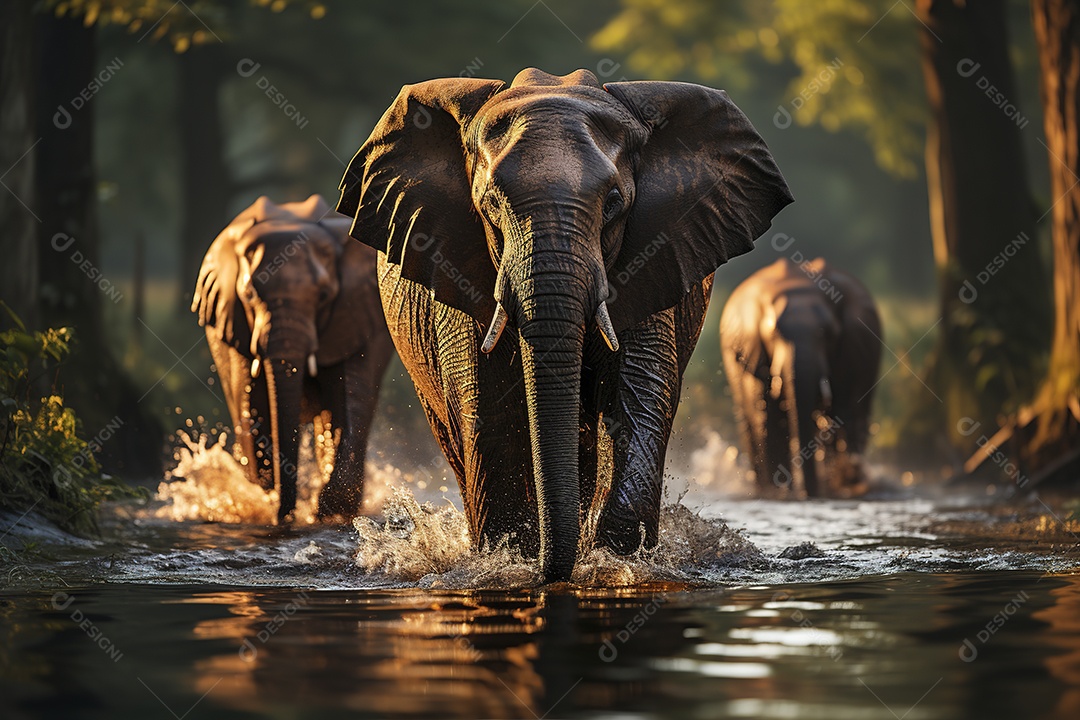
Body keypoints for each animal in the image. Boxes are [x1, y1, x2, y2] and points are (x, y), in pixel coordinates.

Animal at [192, 194, 393, 523]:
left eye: (324, 296)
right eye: (249, 295)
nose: (285, 516)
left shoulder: (357, 312)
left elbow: (350, 398)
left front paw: (329, 509)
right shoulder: (237, 324)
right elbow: (253, 403)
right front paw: (270, 494)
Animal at [336, 68, 792, 582]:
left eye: (613, 203)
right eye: (491, 205)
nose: (551, 572)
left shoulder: (653, 253)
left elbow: (639, 393)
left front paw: (613, 558)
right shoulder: (457, 263)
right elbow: (491, 409)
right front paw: (513, 556)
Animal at [720, 257, 882, 497]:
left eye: (828, 334)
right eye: (774, 334)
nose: (809, 495)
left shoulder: (851, 349)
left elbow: (842, 413)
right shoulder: (755, 352)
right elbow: (769, 419)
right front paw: (779, 494)